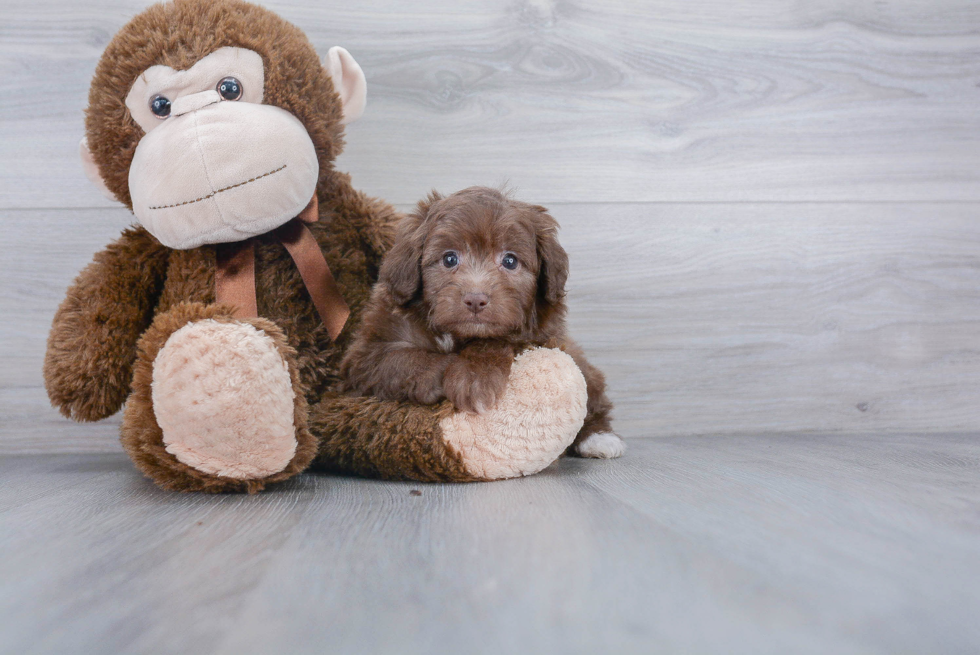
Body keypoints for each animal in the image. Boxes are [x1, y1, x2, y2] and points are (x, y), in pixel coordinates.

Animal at [340, 187, 624, 458]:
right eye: (449, 259)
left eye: (510, 260)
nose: (476, 299)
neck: (459, 334)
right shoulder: (365, 357)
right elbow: (404, 359)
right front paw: (454, 374)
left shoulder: (542, 337)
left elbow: (497, 340)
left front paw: (475, 376)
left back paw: (599, 438)